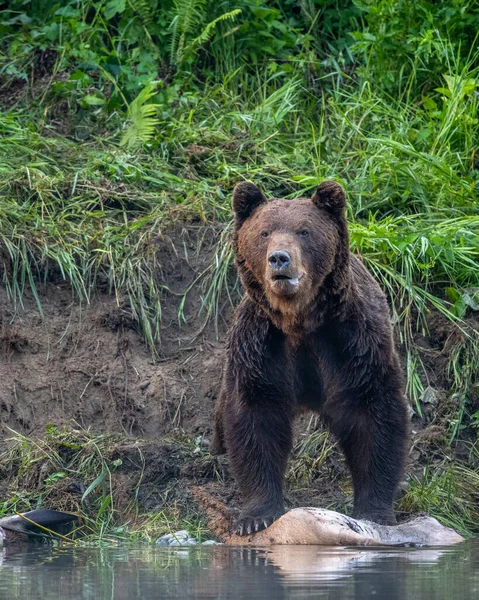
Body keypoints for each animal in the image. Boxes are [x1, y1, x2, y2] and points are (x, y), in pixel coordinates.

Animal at [212, 179, 410, 536]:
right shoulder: (260, 350)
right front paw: (256, 516)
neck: (299, 322)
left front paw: (375, 511)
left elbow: (374, 416)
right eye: (264, 232)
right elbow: (255, 418)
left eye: (304, 231)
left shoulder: (352, 346)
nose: (279, 259)